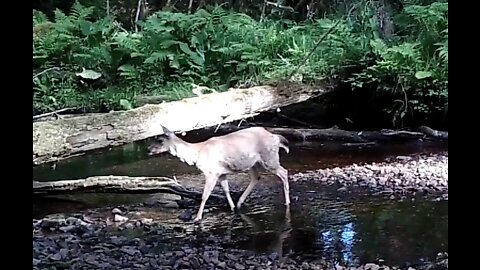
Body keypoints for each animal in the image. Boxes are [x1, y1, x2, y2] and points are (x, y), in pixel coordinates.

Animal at [147, 125, 288, 223]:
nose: (148, 149)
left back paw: (287, 203)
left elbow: (204, 196)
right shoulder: (221, 173)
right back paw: (239, 203)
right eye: (155, 138)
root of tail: (275, 137)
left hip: (269, 157)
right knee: (256, 177)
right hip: (253, 163)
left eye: (160, 140)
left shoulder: (211, 172)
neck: (197, 153)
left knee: (284, 172)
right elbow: (226, 189)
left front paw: (197, 218)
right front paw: (232, 208)